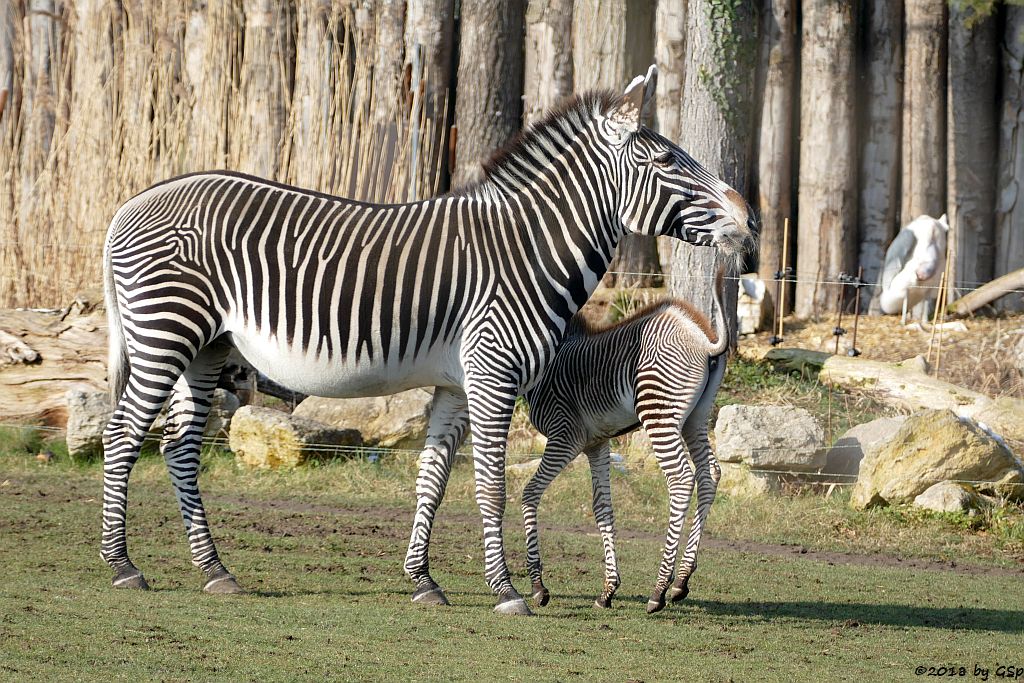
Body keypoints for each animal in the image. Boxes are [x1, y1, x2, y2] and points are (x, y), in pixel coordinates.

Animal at [524, 266, 733, 614]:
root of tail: (705, 341)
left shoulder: (565, 436)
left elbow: (530, 493)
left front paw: (539, 587)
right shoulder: (596, 443)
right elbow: (602, 508)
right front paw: (608, 590)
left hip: (659, 413)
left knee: (681, 479)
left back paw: (659, 589)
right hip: (696, 417)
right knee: (709, 474)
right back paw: (681, 581)